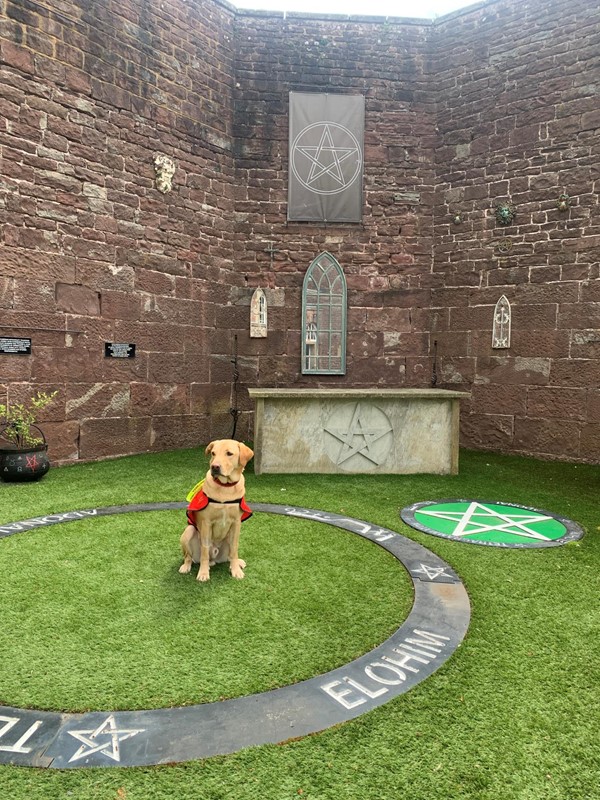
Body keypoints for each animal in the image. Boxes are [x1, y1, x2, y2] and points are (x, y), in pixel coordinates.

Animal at [178, 440, 253, 584]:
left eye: (229, 453)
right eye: (213, 453)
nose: (215, 467)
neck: (226, 488)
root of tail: (215, 559)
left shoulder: (236, 523)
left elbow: (234, 550)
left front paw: (236, 570)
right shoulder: (206, 523)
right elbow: (205, 552)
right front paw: (203, 573)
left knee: (230, 555)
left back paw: (238, 562)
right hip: (189, 531)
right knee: (189, 557)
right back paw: (186, 566)